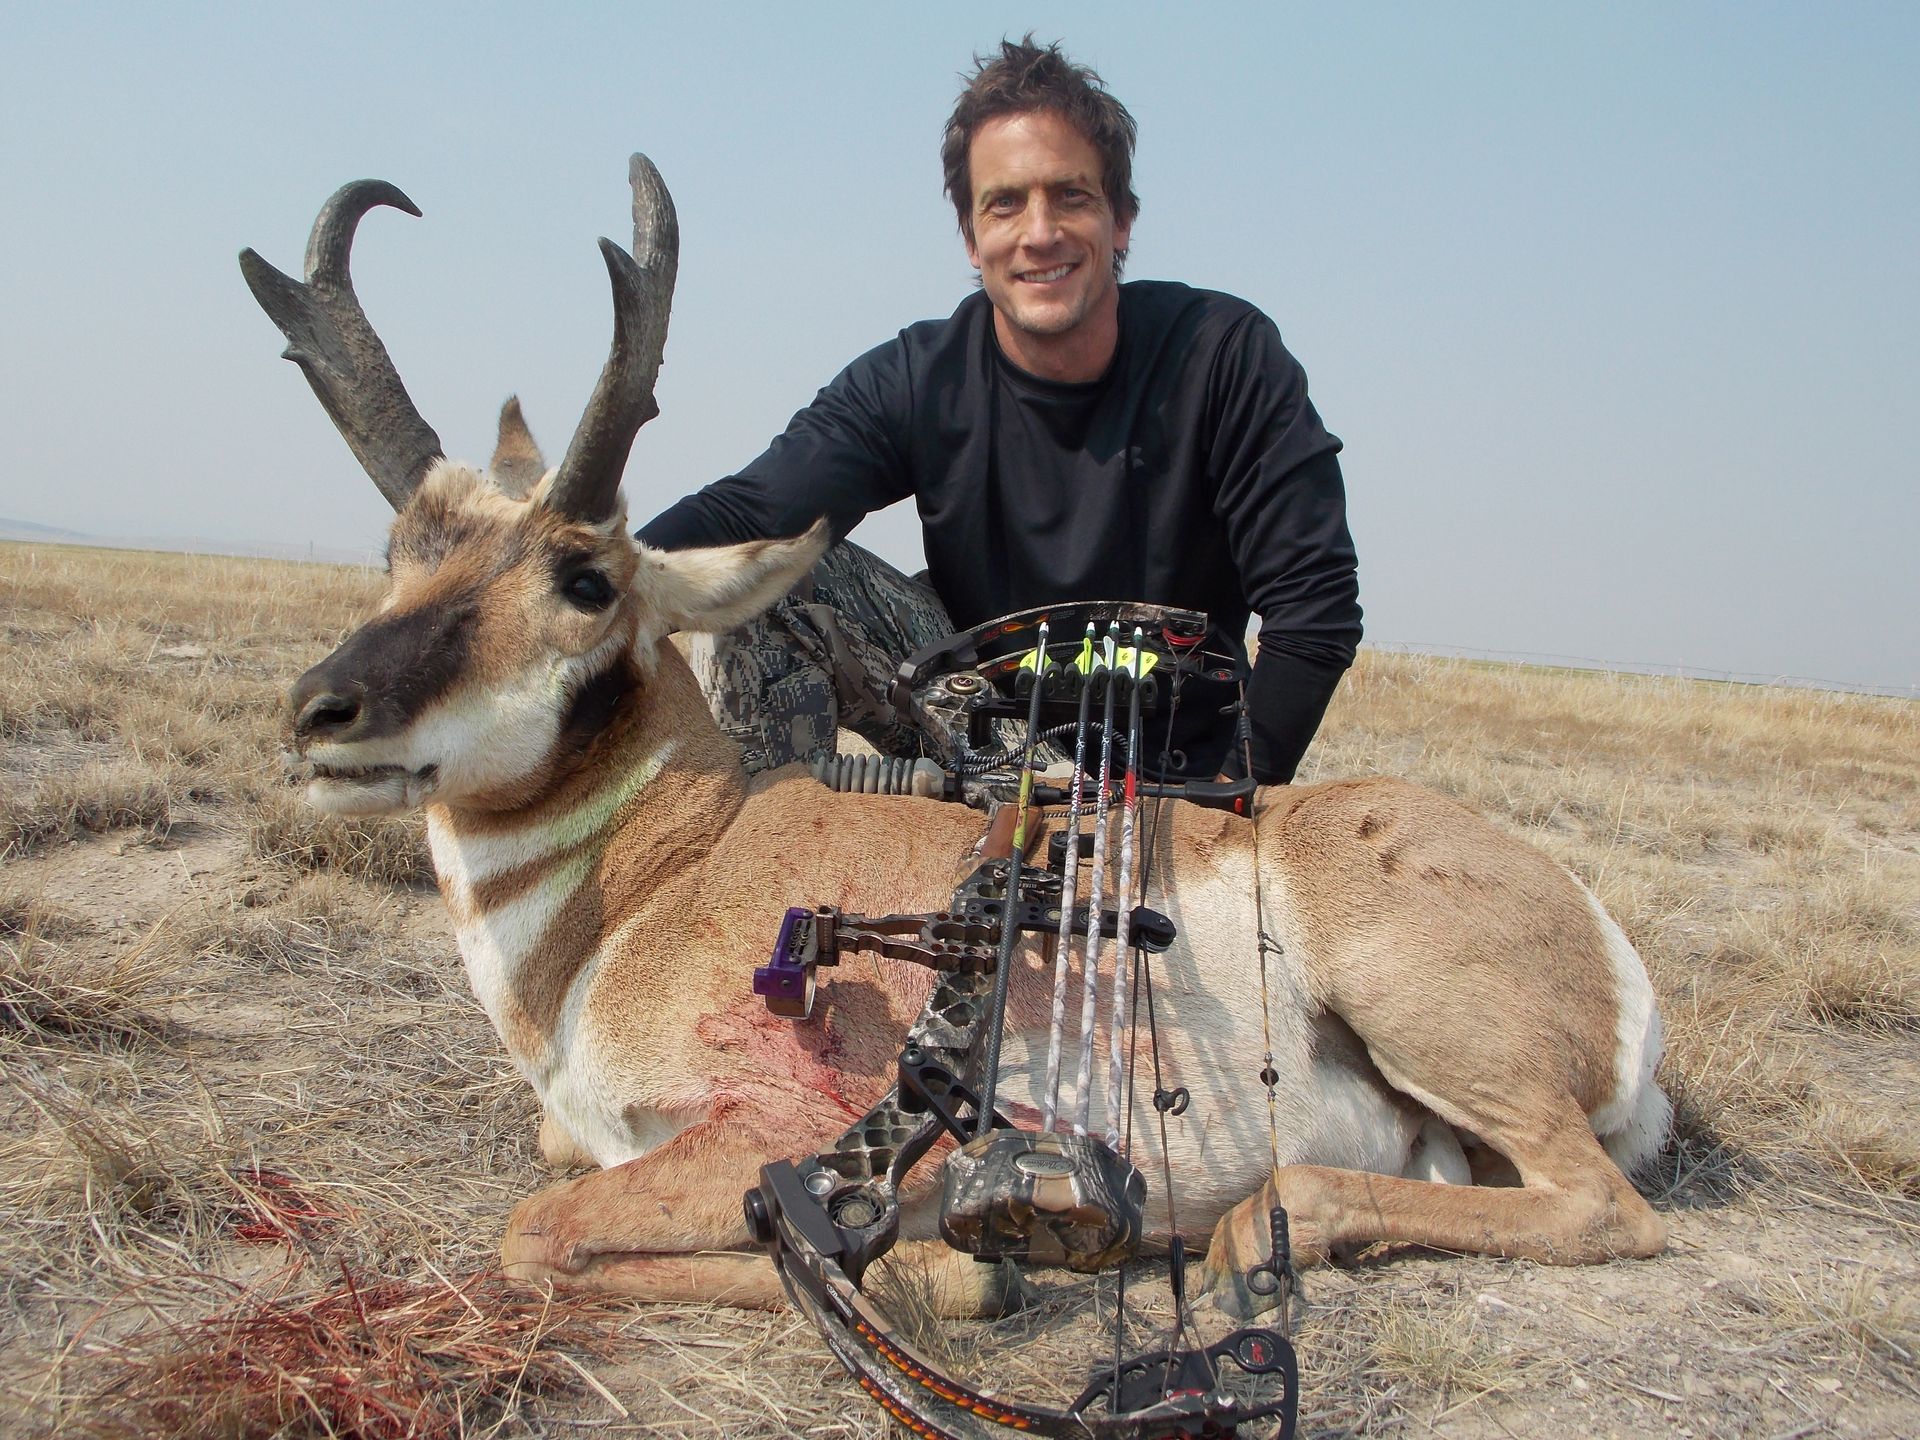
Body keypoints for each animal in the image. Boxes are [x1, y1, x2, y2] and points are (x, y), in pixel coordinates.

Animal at [247, 157, 1670, 1319]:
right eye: (400, 550)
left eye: (587, 580)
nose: (322, 712)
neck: (669, 872)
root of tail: (1605, 954)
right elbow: (553, 1186)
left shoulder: (763, 1131)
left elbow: (539, 1230)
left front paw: (951, 1270)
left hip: (1423, 1017)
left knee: (1606, 1207)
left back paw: (1247, 1231)